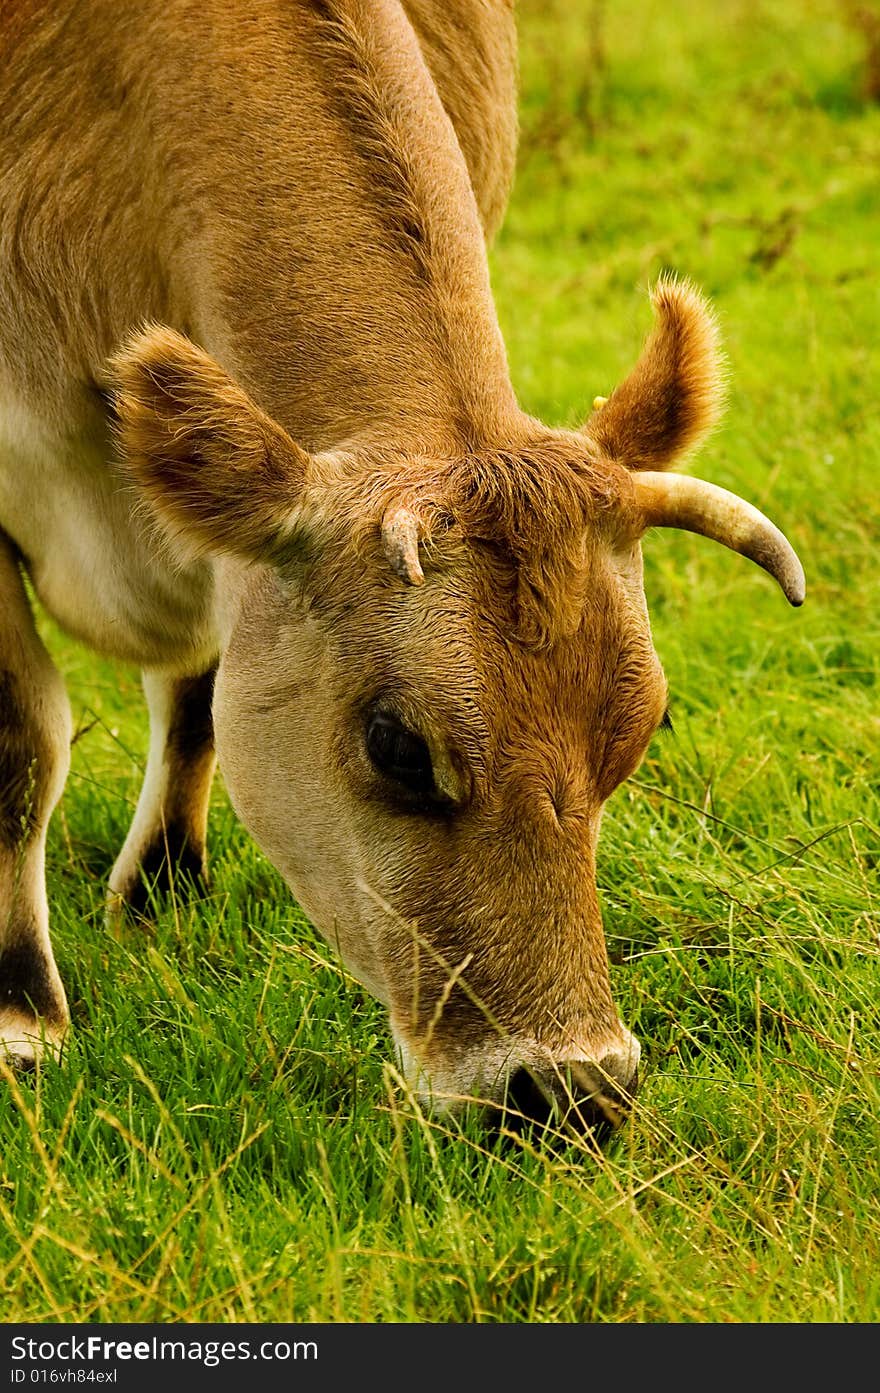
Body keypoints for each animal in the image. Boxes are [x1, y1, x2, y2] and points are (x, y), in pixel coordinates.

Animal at [0, 0, 802, 1125]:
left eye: (641, 732)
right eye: (396, 745)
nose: (575, 1090)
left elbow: (202, 696)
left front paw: (159, 895)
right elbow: (19, 742)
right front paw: (21, 1016)